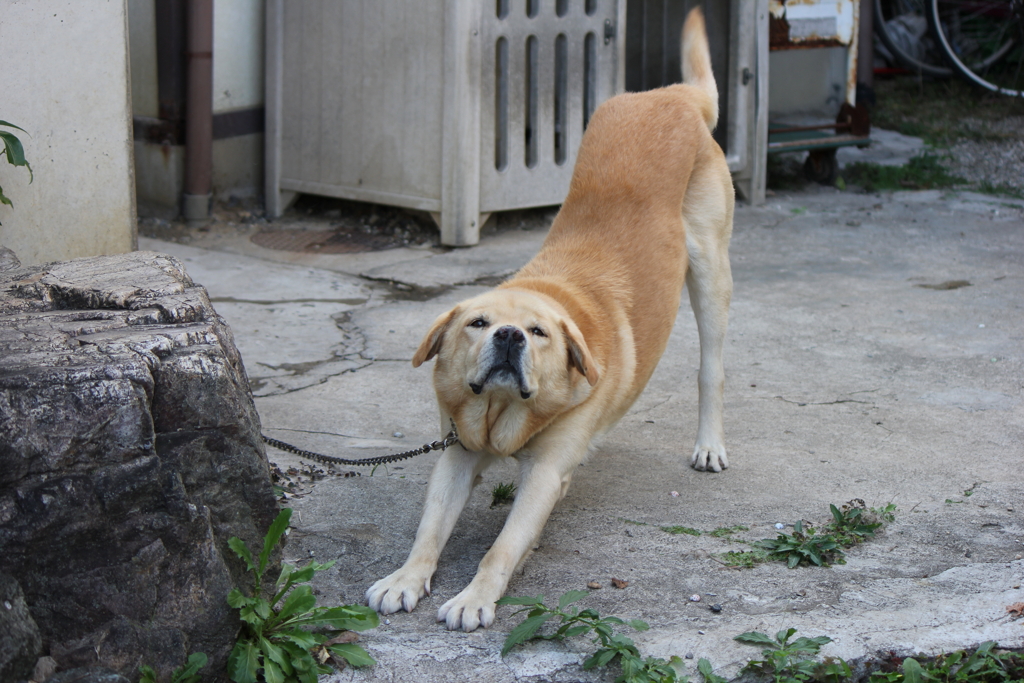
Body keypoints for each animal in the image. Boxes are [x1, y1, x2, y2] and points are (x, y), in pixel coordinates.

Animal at [364, 7, 733, 634]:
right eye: (478, 323)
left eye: (537, 333)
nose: (510, 335)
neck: (502, 414)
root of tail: (674, 95)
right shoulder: (457, 452)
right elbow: (429, 528)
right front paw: (405, 578)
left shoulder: (542, 473)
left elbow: (502, 546)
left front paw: (474, 597)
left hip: (710, 271)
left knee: (712, 369)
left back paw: (709, 444)